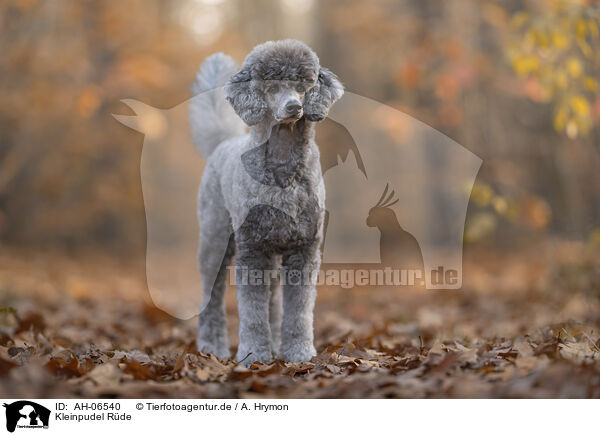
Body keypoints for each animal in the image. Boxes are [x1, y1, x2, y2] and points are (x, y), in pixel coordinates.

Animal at [190, 39, 344, 366]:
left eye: (302, 85)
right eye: (271, 87)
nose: (294, 107)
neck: (283, 168)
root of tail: (221, 144)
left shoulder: (303, 250)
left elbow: (299, 311)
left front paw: (299, 352)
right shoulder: (253, 252)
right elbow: (252, 313)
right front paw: (253, 355)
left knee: (273, 301)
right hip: (215, 241)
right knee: (212, 298)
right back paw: (212, 346)